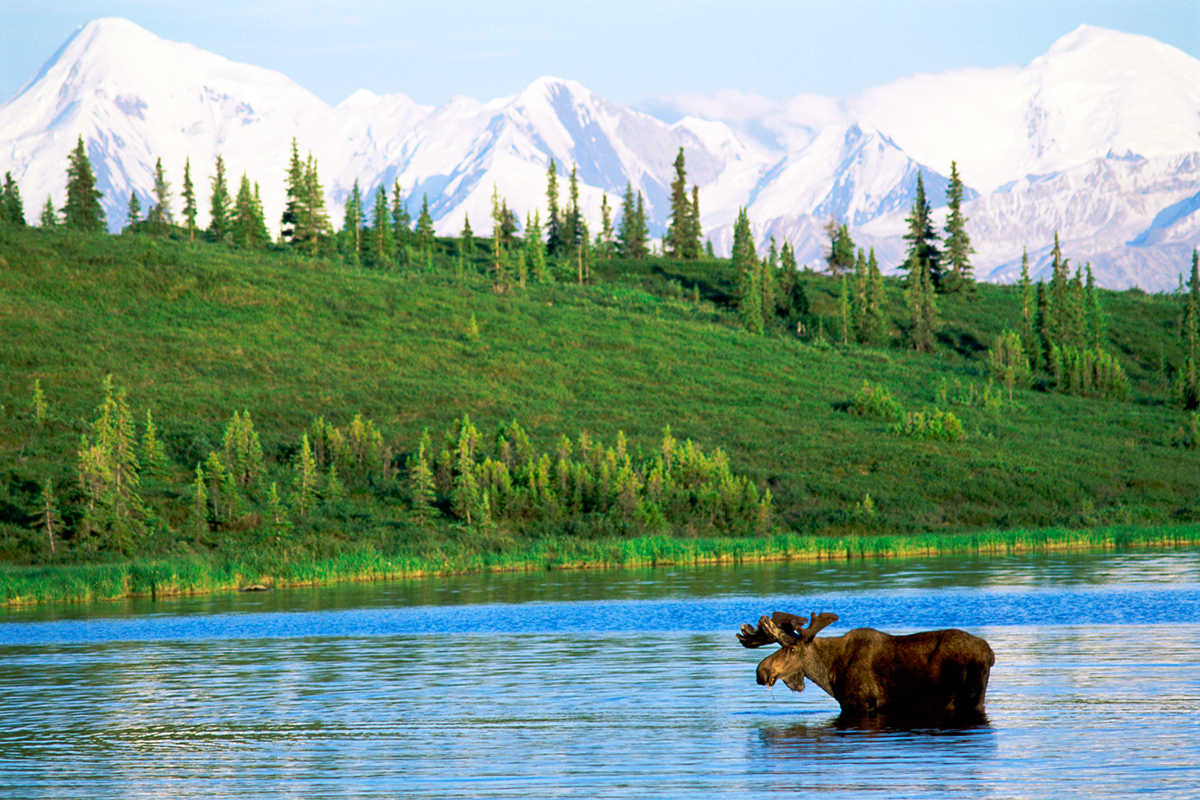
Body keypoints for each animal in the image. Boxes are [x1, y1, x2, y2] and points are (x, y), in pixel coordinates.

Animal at [734, 614, 998, 719]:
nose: (761, 671)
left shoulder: (859, 704)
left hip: (972, 696)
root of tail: (990, 652)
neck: (829, 674)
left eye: (792, 649)